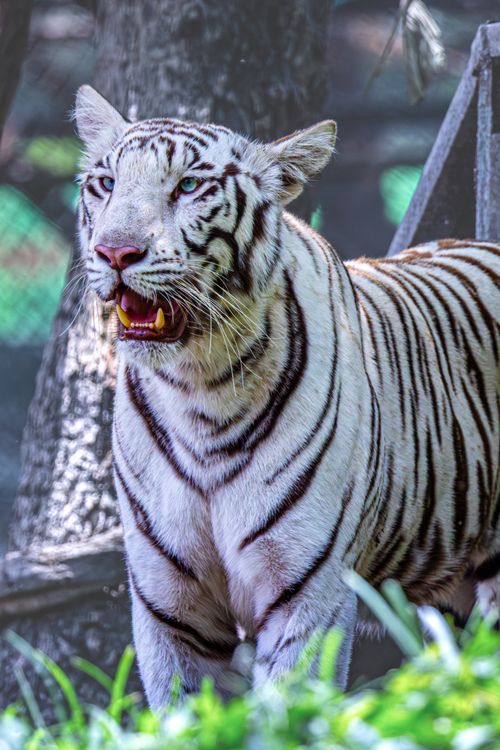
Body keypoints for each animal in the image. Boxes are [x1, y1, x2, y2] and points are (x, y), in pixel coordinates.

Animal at [75, 84, 500, 707]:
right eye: (105, 183)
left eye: (188, 186)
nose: (115, 253)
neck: (198, 390)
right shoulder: (170, 609)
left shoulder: (306, 594)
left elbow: (290, 712)